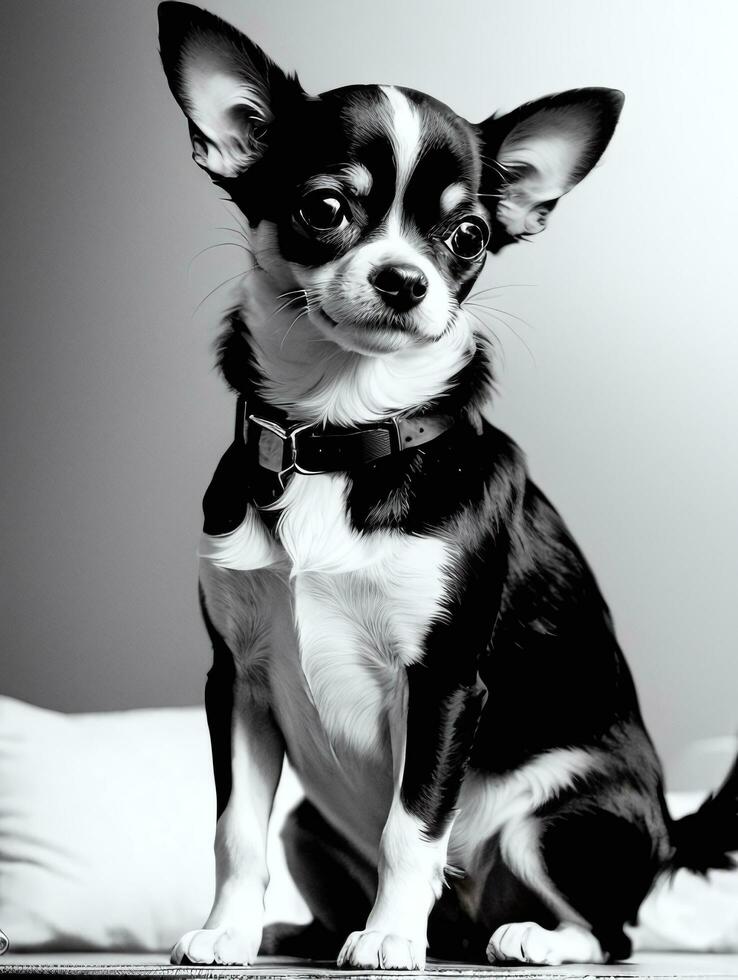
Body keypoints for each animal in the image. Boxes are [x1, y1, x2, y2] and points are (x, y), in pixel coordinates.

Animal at [157, 3, 736, 968]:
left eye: (468, 237)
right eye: (324, 209)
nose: (404, 279)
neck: (340, 436)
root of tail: (669, 836)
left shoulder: (443, 686)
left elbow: (412, 825)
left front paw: (392, 937)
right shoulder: (236, 679)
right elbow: (235, 829)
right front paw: (227, 930)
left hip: (556, 816)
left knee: (613, 932)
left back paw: (531, 939)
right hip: (309, 824)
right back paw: (301, 932)